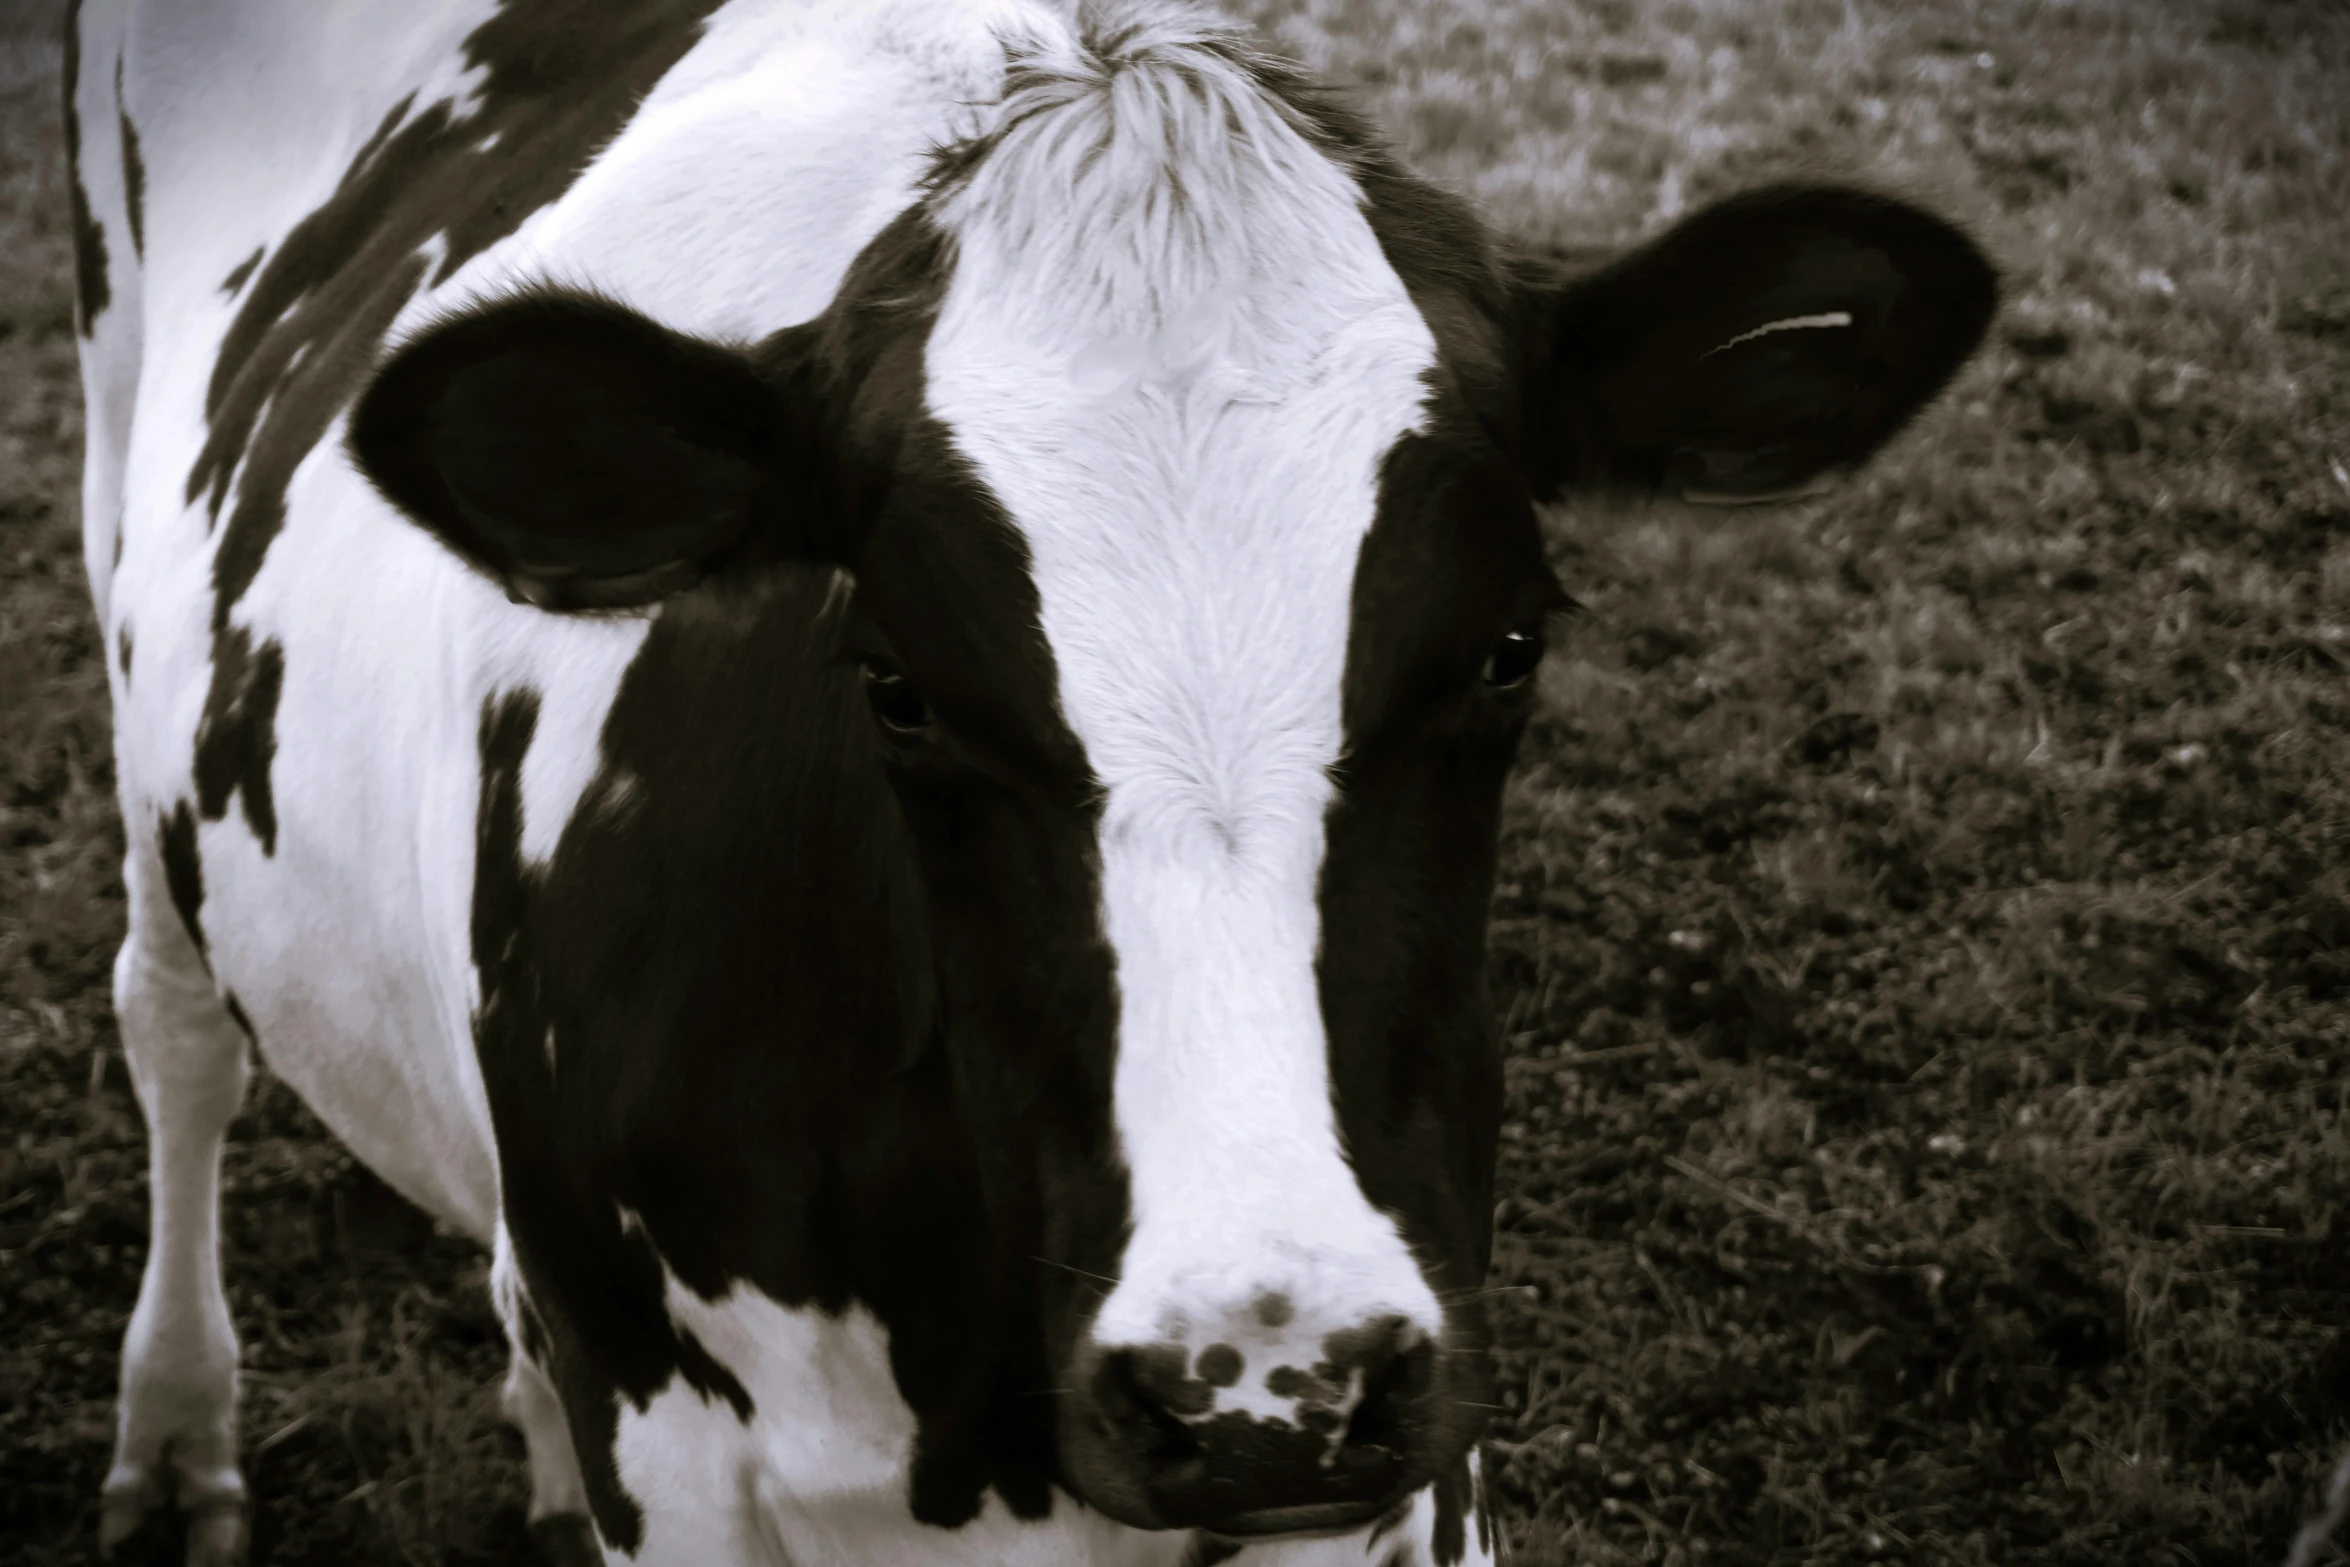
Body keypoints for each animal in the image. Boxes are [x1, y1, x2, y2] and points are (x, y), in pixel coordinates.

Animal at [64, 0, 1992, 1559]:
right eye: (896, 687)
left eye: (1510, 649)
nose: (1258, 1383)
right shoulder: (674, 1459)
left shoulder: (1415, 1435)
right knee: (173, 1024)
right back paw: (173, 1442)